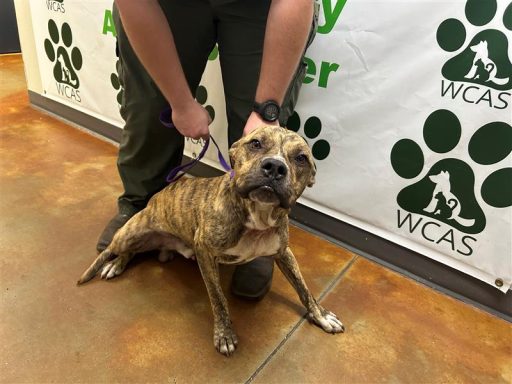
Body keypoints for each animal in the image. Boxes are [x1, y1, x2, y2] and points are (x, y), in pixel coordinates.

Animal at [78, 126, 346, 356]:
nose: (275, 166)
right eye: (255, 143)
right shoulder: (205, 252)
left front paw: (321, 315)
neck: (257, 216)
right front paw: (224, 334)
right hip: (129, 233)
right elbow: (218, 299)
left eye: (301, 158)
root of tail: (155, 198)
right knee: (118, 250)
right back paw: (111, 264)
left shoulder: (283, 252)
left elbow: (304, 289)